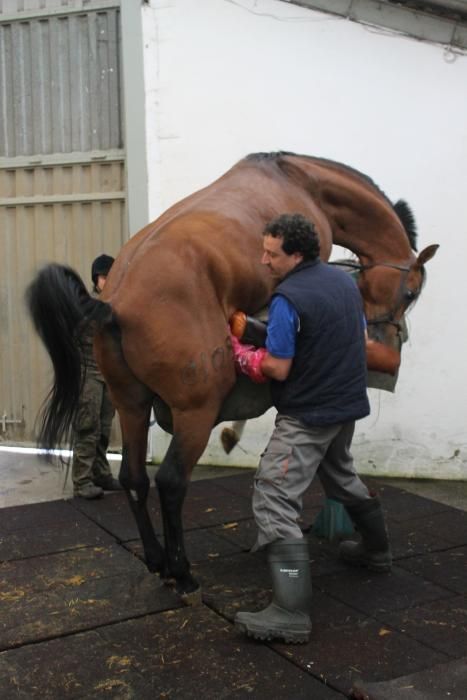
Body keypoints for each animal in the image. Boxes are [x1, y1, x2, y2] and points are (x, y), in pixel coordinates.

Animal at [27, 152, 438, 596]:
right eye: (410, 292)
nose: (386, 345)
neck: (301, 181)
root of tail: (113, 303)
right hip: (195, 411)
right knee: (171, 482)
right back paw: (181, 571)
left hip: (130, 405)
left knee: (134, 478)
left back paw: (156, 561)